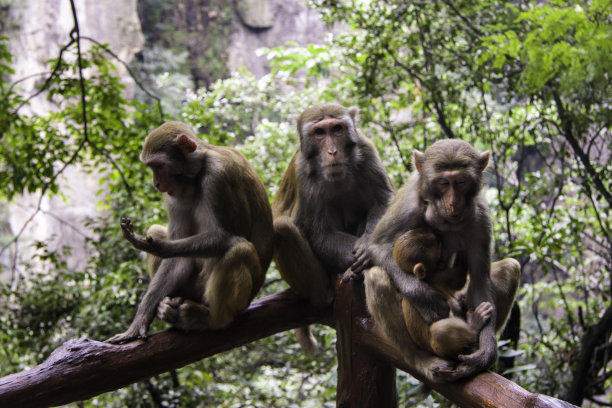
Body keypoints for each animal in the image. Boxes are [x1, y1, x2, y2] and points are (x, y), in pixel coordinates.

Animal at [107, 122, 272, 344]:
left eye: (158, 166)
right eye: (151, 167)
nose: (156, 184)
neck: (199, 172)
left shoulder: (218, 176)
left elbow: (228, 235)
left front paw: (159, 247)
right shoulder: (173, 196)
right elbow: (177, 259)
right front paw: (141, 318)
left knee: (240, 249)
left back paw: (212, 320)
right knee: (158, 230)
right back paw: (167, 309)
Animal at [272, 103, 392, 356]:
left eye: (337, 129)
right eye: (319, 133)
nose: (332, 152)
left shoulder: (367, 150)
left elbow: (382, 202)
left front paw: (368, 252)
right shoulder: (303, 174)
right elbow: (320, 235)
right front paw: (362, 263)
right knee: (282, 228)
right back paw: (325, 295)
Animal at [392, 228, 492, 358]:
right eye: (439, 247)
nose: (445, 248)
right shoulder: (437, 277)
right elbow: (458, 279)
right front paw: (462, 247)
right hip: (438, 347)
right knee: (439, 332)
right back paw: (474, 325)